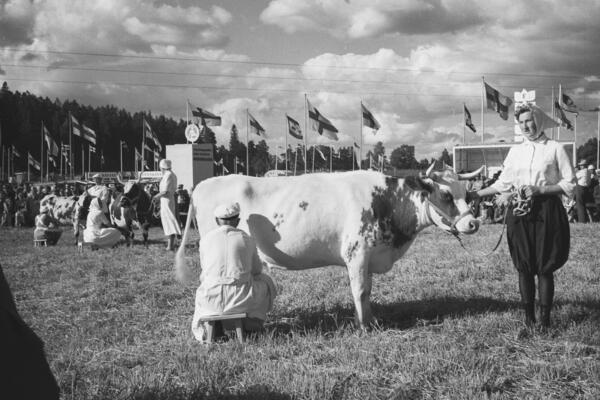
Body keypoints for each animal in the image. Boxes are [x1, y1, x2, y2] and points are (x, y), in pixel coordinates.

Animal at [176, 165, 486, 328]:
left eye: (467, 193)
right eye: (445, 194)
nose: (473, 223)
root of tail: (201, 185)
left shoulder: (369, 256)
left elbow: (368, 291)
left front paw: (371, 320)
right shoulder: (357, 254)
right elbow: (359, 291)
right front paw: (363, 326)